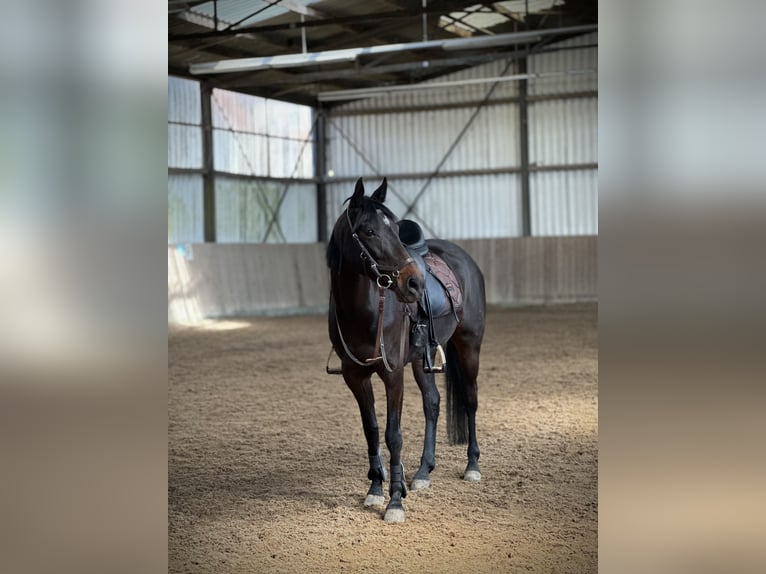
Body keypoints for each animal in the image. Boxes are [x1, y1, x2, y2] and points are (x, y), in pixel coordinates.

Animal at [324, 178, 486, 524]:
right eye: (368, 231)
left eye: (396, 231)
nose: (415, 284)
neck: (364, 312)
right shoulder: (355, 376)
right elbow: (371, 430)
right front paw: (375, 489)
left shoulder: (393, 374)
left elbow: (393, 434)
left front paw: (396, 502)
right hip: (423, 357)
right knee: (433, 403)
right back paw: (424, 471)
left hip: (469, 346)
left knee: (470, 399)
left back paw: (472, 466)